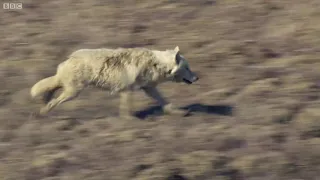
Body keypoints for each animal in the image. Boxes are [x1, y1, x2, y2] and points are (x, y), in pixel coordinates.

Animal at [31, 45, 199, 117]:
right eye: (187, 68)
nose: (197, 78)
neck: (157, 64)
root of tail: (69, 58)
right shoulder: (128, 90)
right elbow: (126, 108)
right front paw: (129, 121)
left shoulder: (149, 88)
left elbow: (165, 102)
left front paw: (178, 112)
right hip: (73, 92)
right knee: (53, 100)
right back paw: (43, 111)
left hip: (70, 89)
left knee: (49, 90)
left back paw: (42, 104)